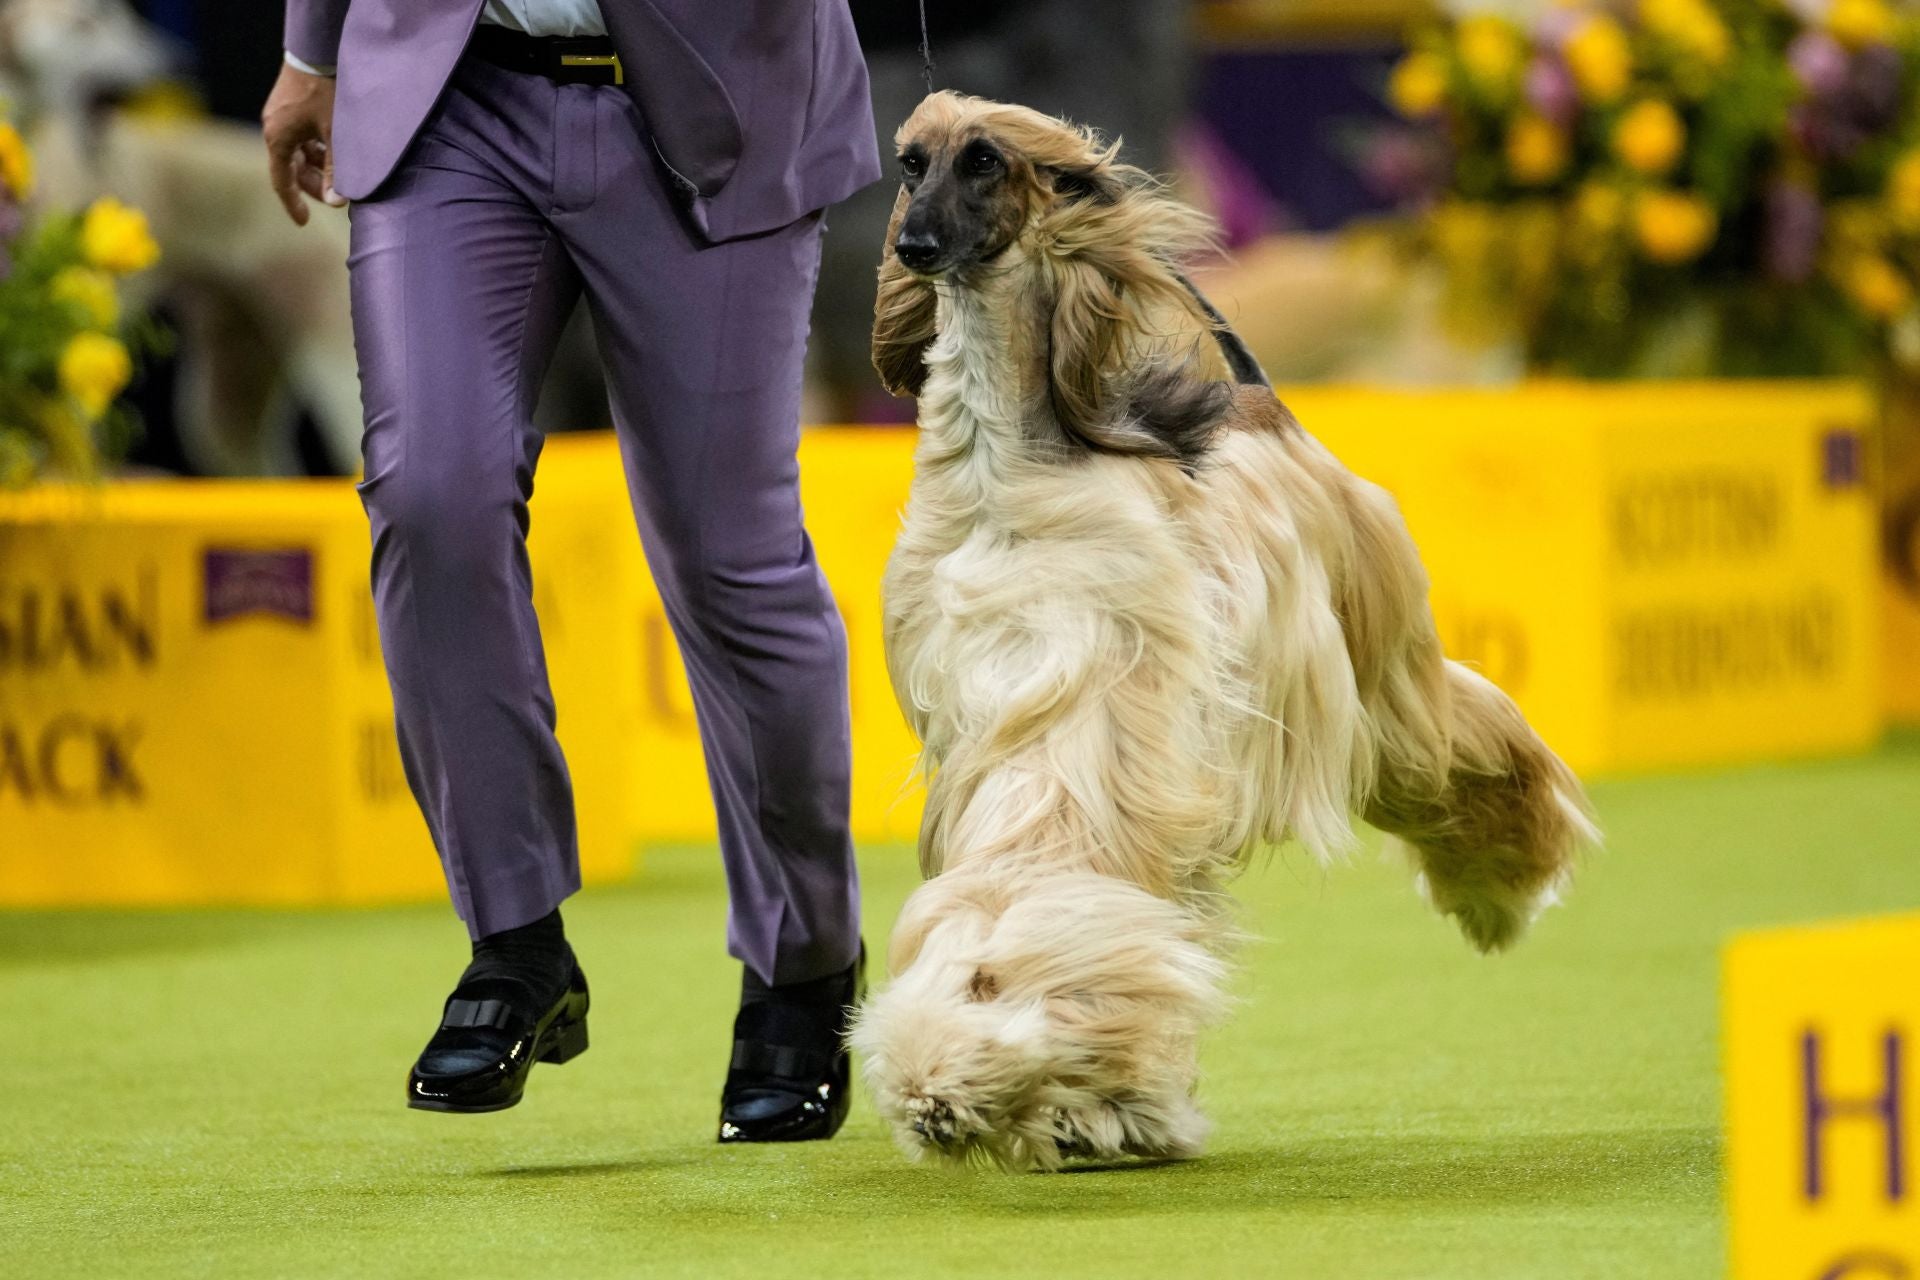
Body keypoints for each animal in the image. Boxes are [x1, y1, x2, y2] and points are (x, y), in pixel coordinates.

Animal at [860, 90, 1605, 1174]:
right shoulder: (990, 720)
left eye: (986, 163)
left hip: (1380, 679)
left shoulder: (1095, 717)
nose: (914, 245)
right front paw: (1090, 1099)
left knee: (1467, 741)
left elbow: (1058, 909)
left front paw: (1043, 1078)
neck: (1006, 477)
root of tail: (1264, 403)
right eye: (911, 163)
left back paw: (1502, 887)